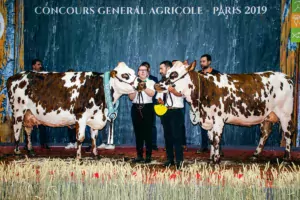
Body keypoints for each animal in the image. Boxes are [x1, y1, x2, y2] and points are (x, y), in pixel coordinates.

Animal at [7, 61, 137, 159]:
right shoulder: (81, 116)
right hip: (18, 111)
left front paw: (95, 154)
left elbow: (94, 137)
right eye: (125, 75)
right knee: (16, 131)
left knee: (28, 131)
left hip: (29, 114)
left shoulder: (94, 117)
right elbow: (80, 138)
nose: (140, 83)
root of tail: (14, 77)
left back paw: (30, 151)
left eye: (133, 72)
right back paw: (17, 152)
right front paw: (78, 157)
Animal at [156, 61, 294, 164]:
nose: (157, 85)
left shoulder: (218, 120)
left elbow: (217, 139)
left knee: (288, 134)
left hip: (285, 114)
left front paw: (216, 160)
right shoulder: (209, 120)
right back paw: (255, 155)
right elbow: (211, 140)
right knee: (265, 133)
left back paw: (286, 158)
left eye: (174, 74)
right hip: (267, 115)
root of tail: (286, 77)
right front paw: (211, 158)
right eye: (167, 72)